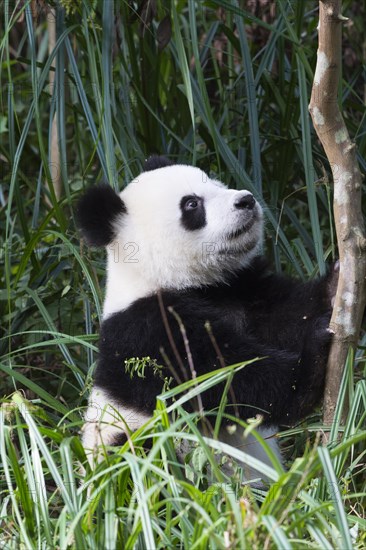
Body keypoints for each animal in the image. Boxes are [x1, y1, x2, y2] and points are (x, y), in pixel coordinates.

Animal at [77, 155, 338, 484]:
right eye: (192, 205)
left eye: (216, 183)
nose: (246, 200)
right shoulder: (147, 331)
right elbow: (226, 381)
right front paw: (310, 362)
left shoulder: (239, 289)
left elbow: (284, 316)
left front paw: (335, 284)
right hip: (129, 446)